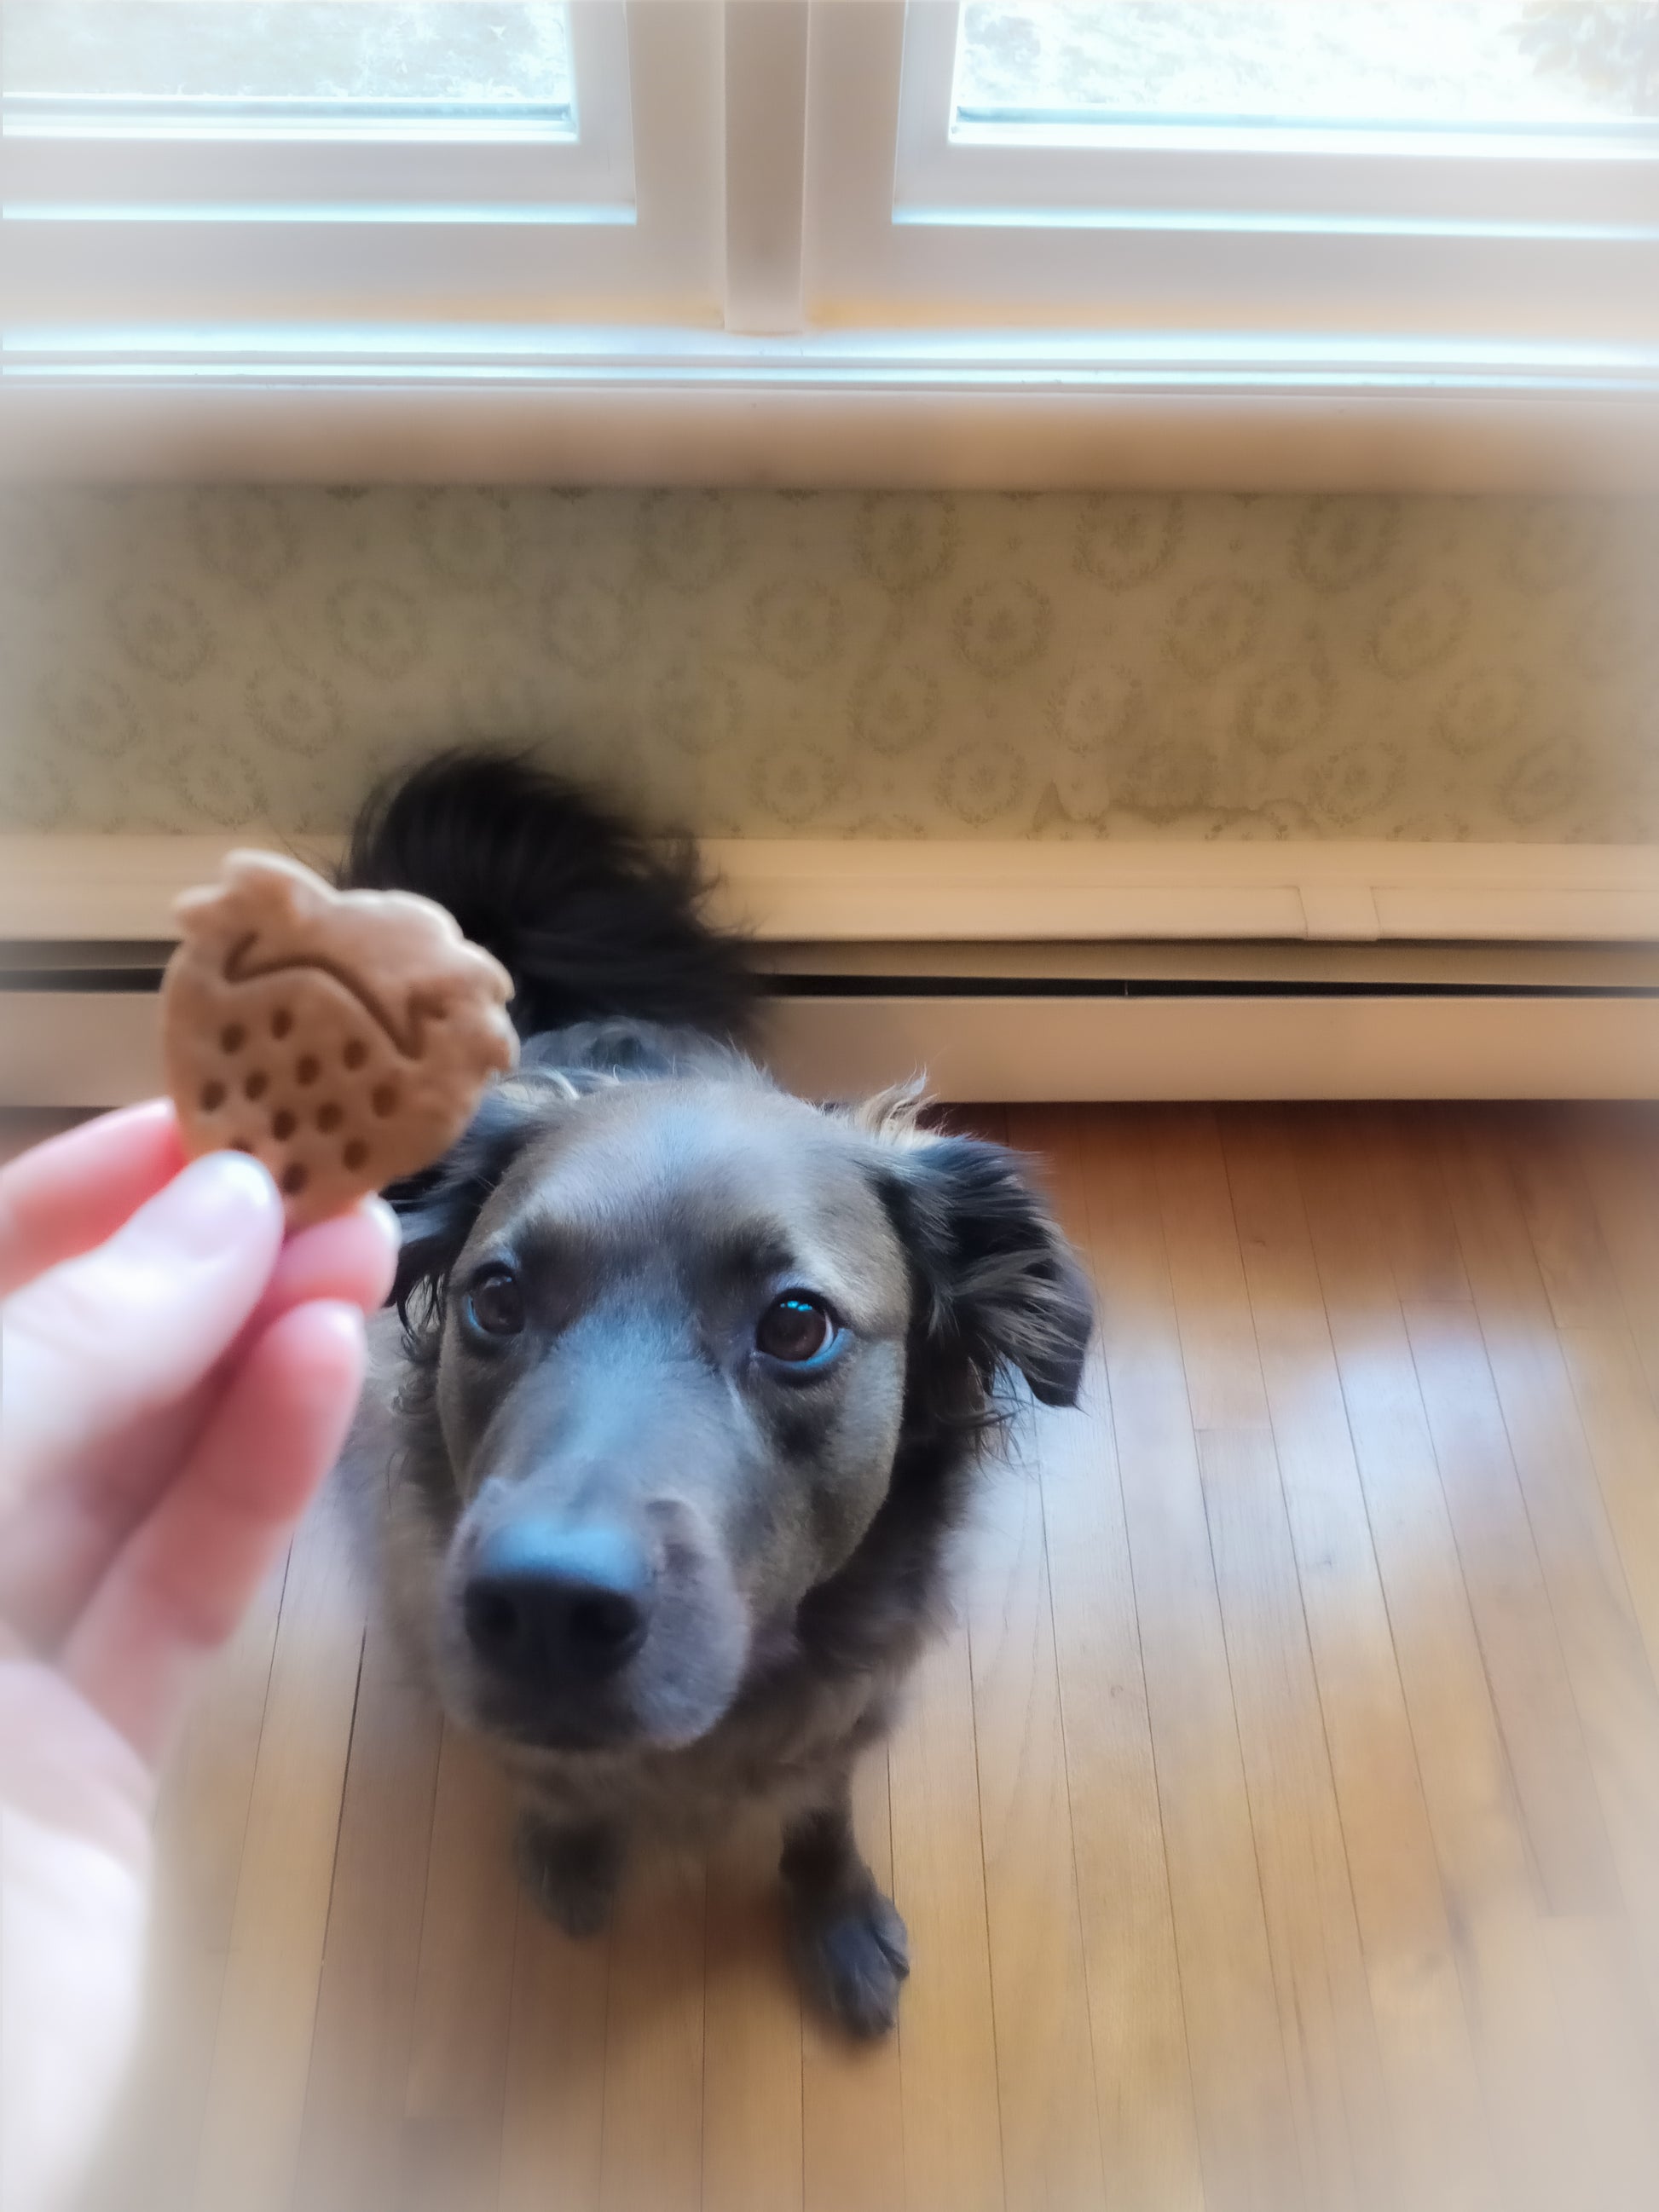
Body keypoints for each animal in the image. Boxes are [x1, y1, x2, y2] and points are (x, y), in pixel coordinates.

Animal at [336, 752, 1092, 2026]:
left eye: (795, 1324)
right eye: (496, 1297)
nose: (542, 1609)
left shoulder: (847, 1712)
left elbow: (820, 1812)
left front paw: (833, 1908)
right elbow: (554, 1782)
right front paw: (570, 1850)